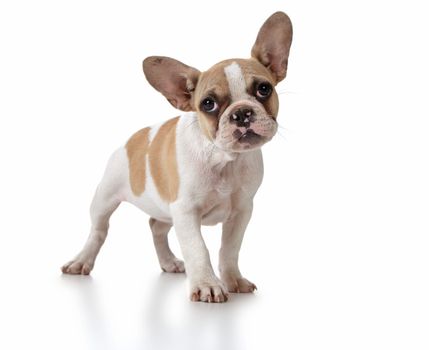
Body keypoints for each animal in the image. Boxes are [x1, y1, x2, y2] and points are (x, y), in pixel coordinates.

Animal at [61, 9, 292, 302]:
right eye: (208, 104)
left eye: (264, 89)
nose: (241, 113)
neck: (224, 159)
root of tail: (133, 138)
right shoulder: (186, 211)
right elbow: (198, 249)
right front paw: (206, 285)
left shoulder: (241, 211)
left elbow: (229, 249)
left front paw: (232, 280)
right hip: (105, 197)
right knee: (98, 231)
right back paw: (81, 261)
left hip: (163, 209)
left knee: (156, 227)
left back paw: (168, 261)